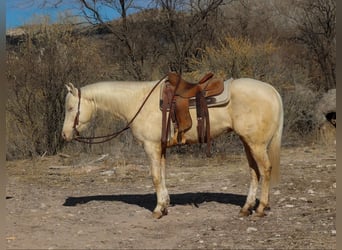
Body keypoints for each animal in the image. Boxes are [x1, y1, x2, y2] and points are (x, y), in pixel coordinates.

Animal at [61, 75, 284, 219]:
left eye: (71, 108)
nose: (64, 134)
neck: (138, 101)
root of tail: (272, 90)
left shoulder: (151, 147)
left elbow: (155, 176)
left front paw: (158, 210)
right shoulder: (161, 148)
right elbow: (163, 174)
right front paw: (165, 205)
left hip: (256, 144)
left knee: (265, 170)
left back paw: (260, 209)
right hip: (248, 143)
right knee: (254, 172)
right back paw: (246, 208)